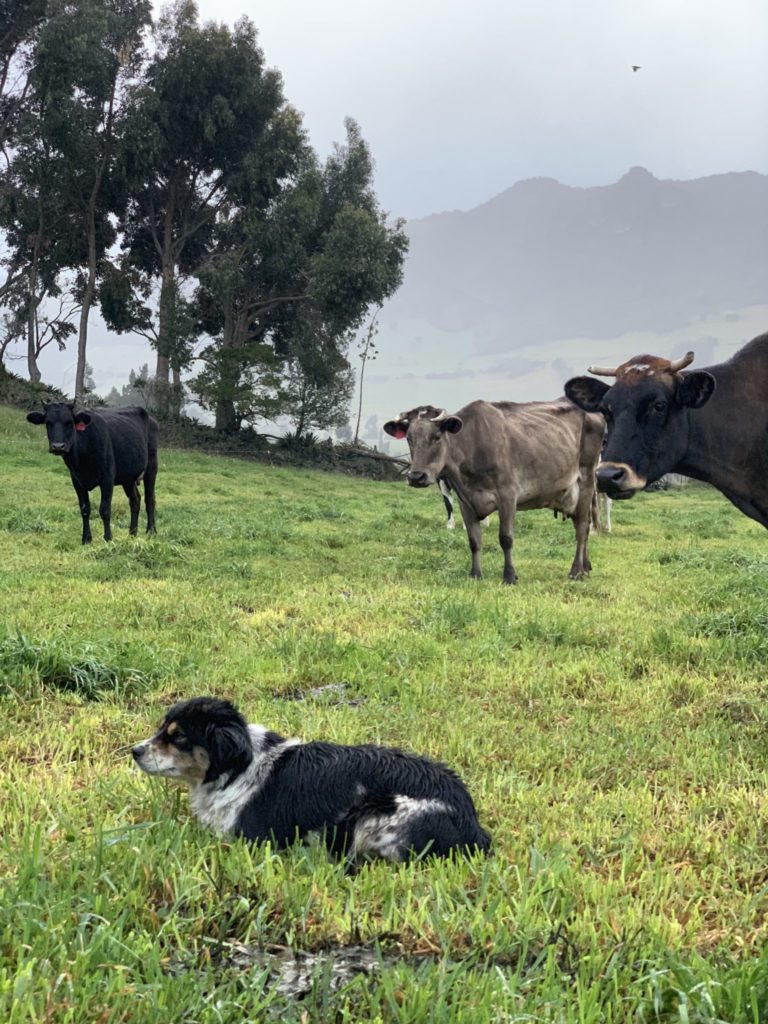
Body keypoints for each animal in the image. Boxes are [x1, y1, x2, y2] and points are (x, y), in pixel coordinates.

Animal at [26, 401, 158, 544]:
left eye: (69, 422)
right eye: (48, 423)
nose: (58, 446)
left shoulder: (107, 478)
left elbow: (105, 509)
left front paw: (108, 538)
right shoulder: (77, 481)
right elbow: (85, 509)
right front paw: (86, 539)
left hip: (151, 466)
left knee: (150, 499)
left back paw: (151, 531)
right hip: (128, 477)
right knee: (135, 500)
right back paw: (132, 533)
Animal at [131, 696, 493, 864]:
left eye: (177, 737)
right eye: (162, 728)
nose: (134, 751)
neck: (240, 766)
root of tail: (473, 823)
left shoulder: (249, 838)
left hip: (375, 814)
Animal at [385, 399, 606, 585]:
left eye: (437, 436)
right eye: (409, 438)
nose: (416, 476)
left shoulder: (507, 495)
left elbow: (506, 538)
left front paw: (509, 576)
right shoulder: (465, 501)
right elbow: (474, 541)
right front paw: (475, 574)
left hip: (586, 481)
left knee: (582, 528)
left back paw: (576, 571)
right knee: (584, 526)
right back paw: (586, 567)